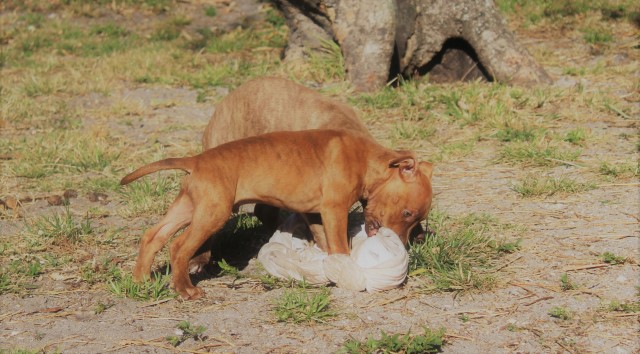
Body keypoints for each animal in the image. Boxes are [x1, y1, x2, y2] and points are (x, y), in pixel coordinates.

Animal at [122, 129, 432, 300]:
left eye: (416, 220)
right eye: (407, 212)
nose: (404, 245)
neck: (367, 161)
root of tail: (196, 161)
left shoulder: (316, 215)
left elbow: (324, 243)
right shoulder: (334, 211)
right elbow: (340, 247)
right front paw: (345, 270)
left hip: (189, 208)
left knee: (152, 236)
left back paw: (141, 279)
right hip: (212, 214)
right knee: (178, 246)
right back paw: (185, 289)